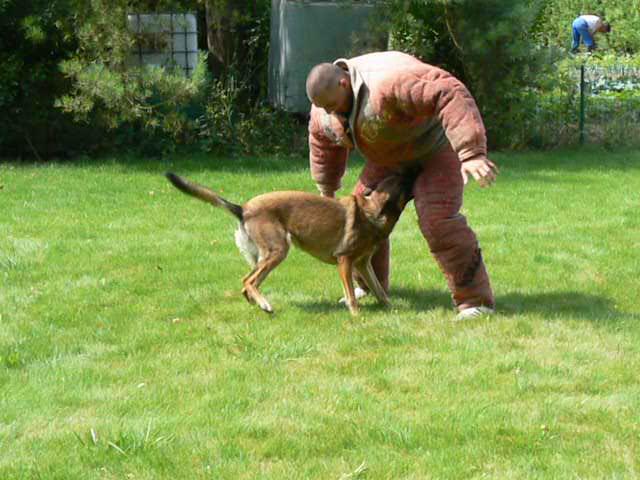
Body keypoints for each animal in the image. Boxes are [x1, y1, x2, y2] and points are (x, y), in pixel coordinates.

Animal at [165, 172, 412, 316]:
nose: (414, 167)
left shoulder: (363, 264)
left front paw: (391, 308)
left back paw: (258, 304)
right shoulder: (345, 261)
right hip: (278, 251)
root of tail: (243, 209)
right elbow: (351, 295)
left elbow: (379, 290)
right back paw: (265, 305)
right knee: (249, 281)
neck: (373, 212)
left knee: (247, 283)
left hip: (266, 255)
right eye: (403, 182)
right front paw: (356, 316)